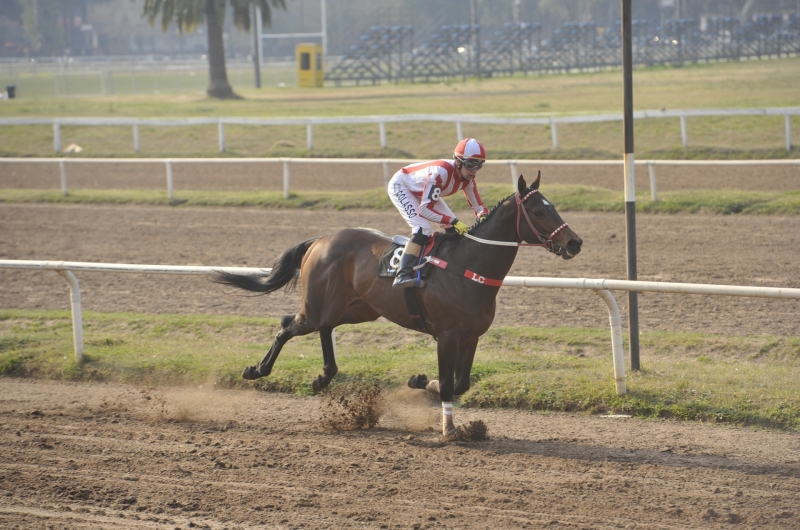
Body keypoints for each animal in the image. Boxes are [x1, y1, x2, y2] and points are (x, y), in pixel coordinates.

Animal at [208, 173, 580, 434]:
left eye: (553, 206)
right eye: (537, 210)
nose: (574, 242)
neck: (469, 265)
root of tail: (321, 239)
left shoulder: (470, 336)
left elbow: (460, 384)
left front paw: (418, 381)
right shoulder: (447, 336)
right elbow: (448, 384)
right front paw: (450, 429)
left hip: (358, 308)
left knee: (326, 328)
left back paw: (323, 377)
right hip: (317, 306)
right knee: (289, 325)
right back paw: (257, 370)